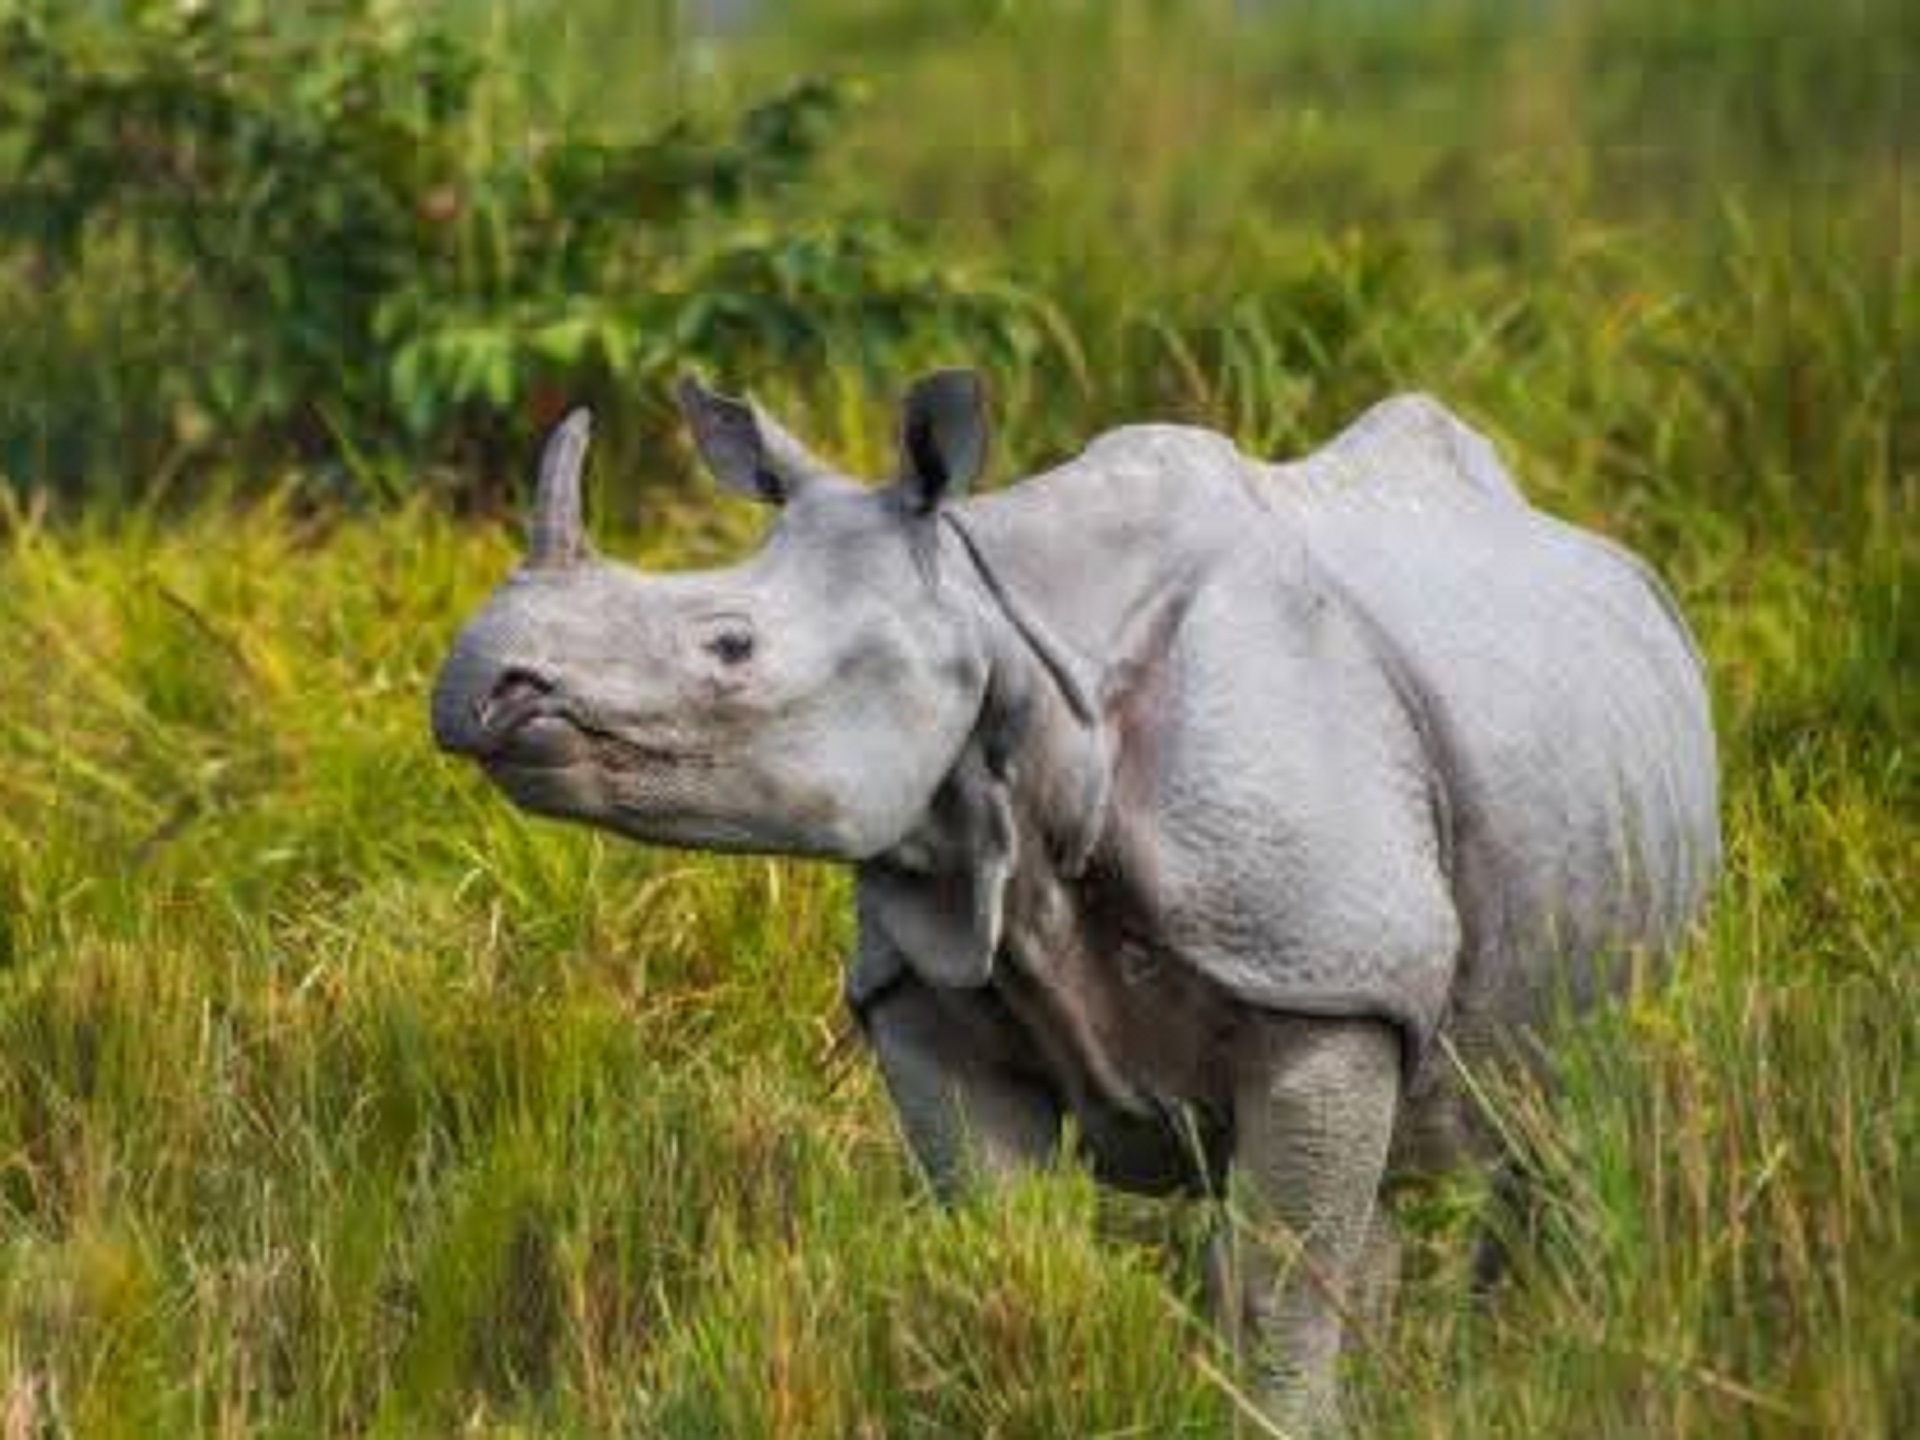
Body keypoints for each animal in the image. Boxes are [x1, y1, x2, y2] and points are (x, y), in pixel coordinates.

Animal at [430, 372, 1720, 1433]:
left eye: (730, 645)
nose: (477, 690)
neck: (1005, 658)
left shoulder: (1323, 980)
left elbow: (1280, 1277)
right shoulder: (927, 994)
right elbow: (1003, 1240)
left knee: (1569, 1114)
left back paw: (1542, 1354)